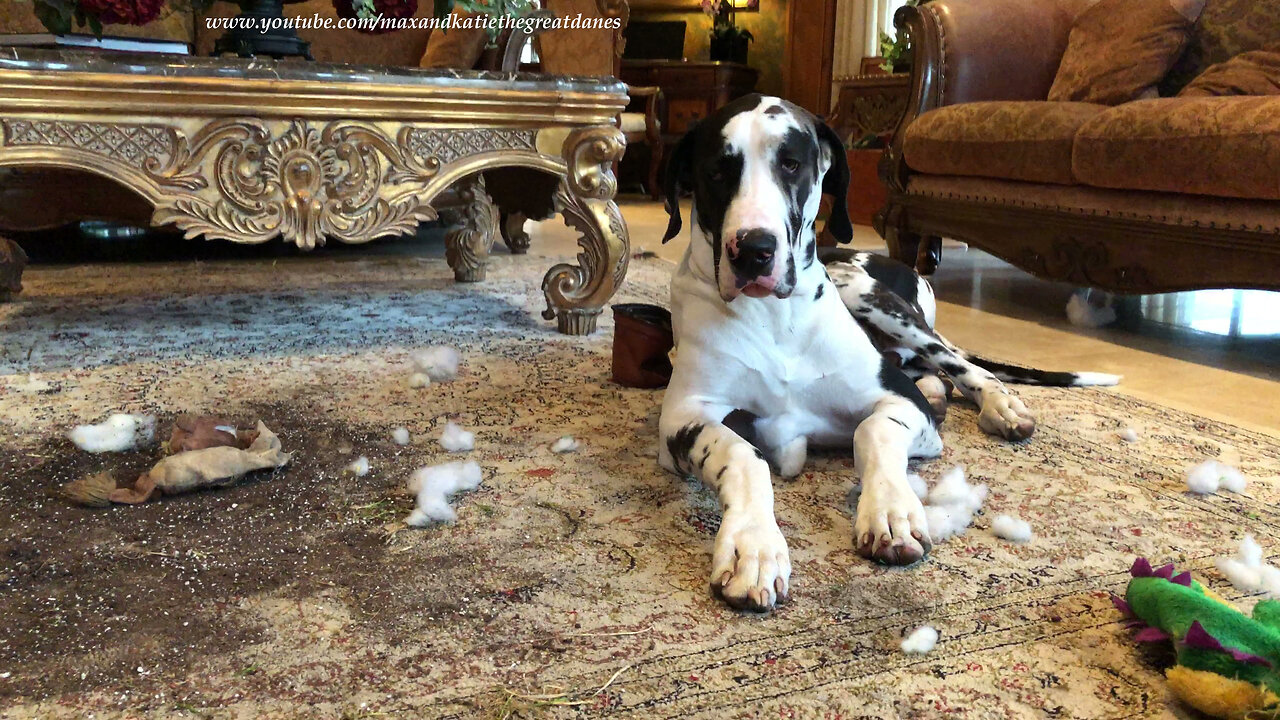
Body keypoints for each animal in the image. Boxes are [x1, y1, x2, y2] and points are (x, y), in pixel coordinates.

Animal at [660, 94, 1121, 609]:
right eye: (717, 171)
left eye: (792, 164)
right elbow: (743, 455)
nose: (753, 251)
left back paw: (1002, 407)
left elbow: (873, 430)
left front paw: (891, 512)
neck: (774, 319)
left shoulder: (898, 399)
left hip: (875, 299)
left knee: (964, 367)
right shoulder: (683, 415)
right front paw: (753, 547)